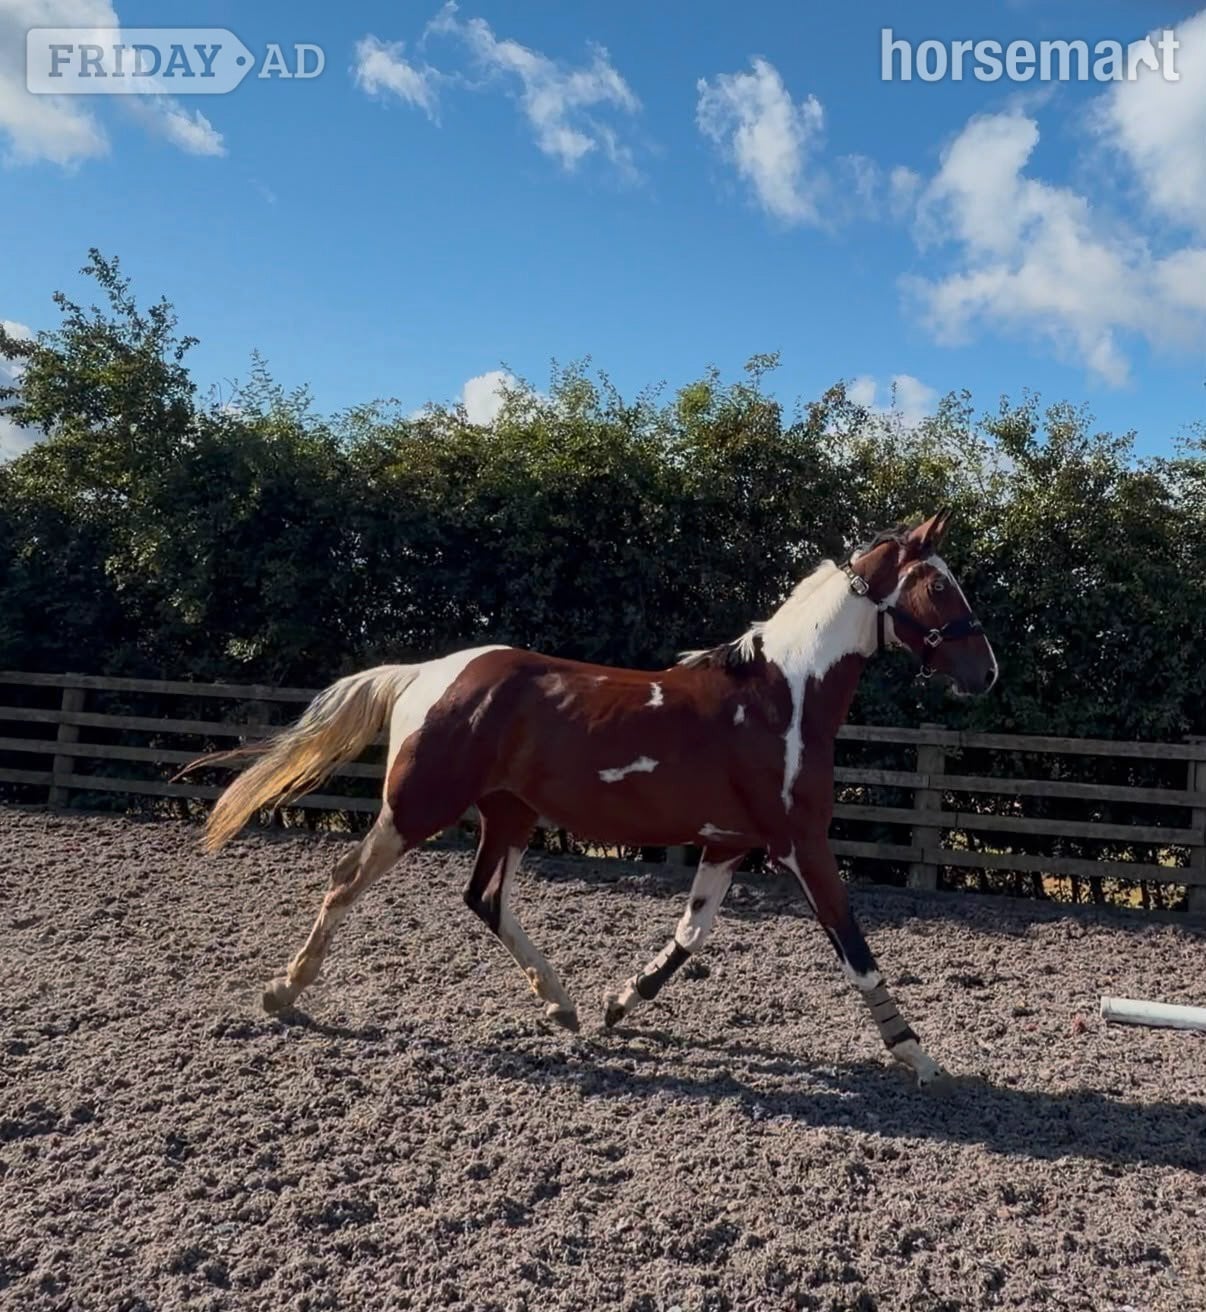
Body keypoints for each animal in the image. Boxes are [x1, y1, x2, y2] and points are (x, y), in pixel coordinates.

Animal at [188, 507, 996, 1086]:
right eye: (939, 586)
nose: (985, 672)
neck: (783, 698)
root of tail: (426, 673)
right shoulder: (800, 843)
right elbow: (853, 943)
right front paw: (917, 1055)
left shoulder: (728, 844)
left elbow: (688, 937)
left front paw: (616, 1006)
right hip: (417, 807)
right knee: (345, 882)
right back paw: (284, 992)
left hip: (508, 814)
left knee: (484, 899)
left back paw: (563, 1002)